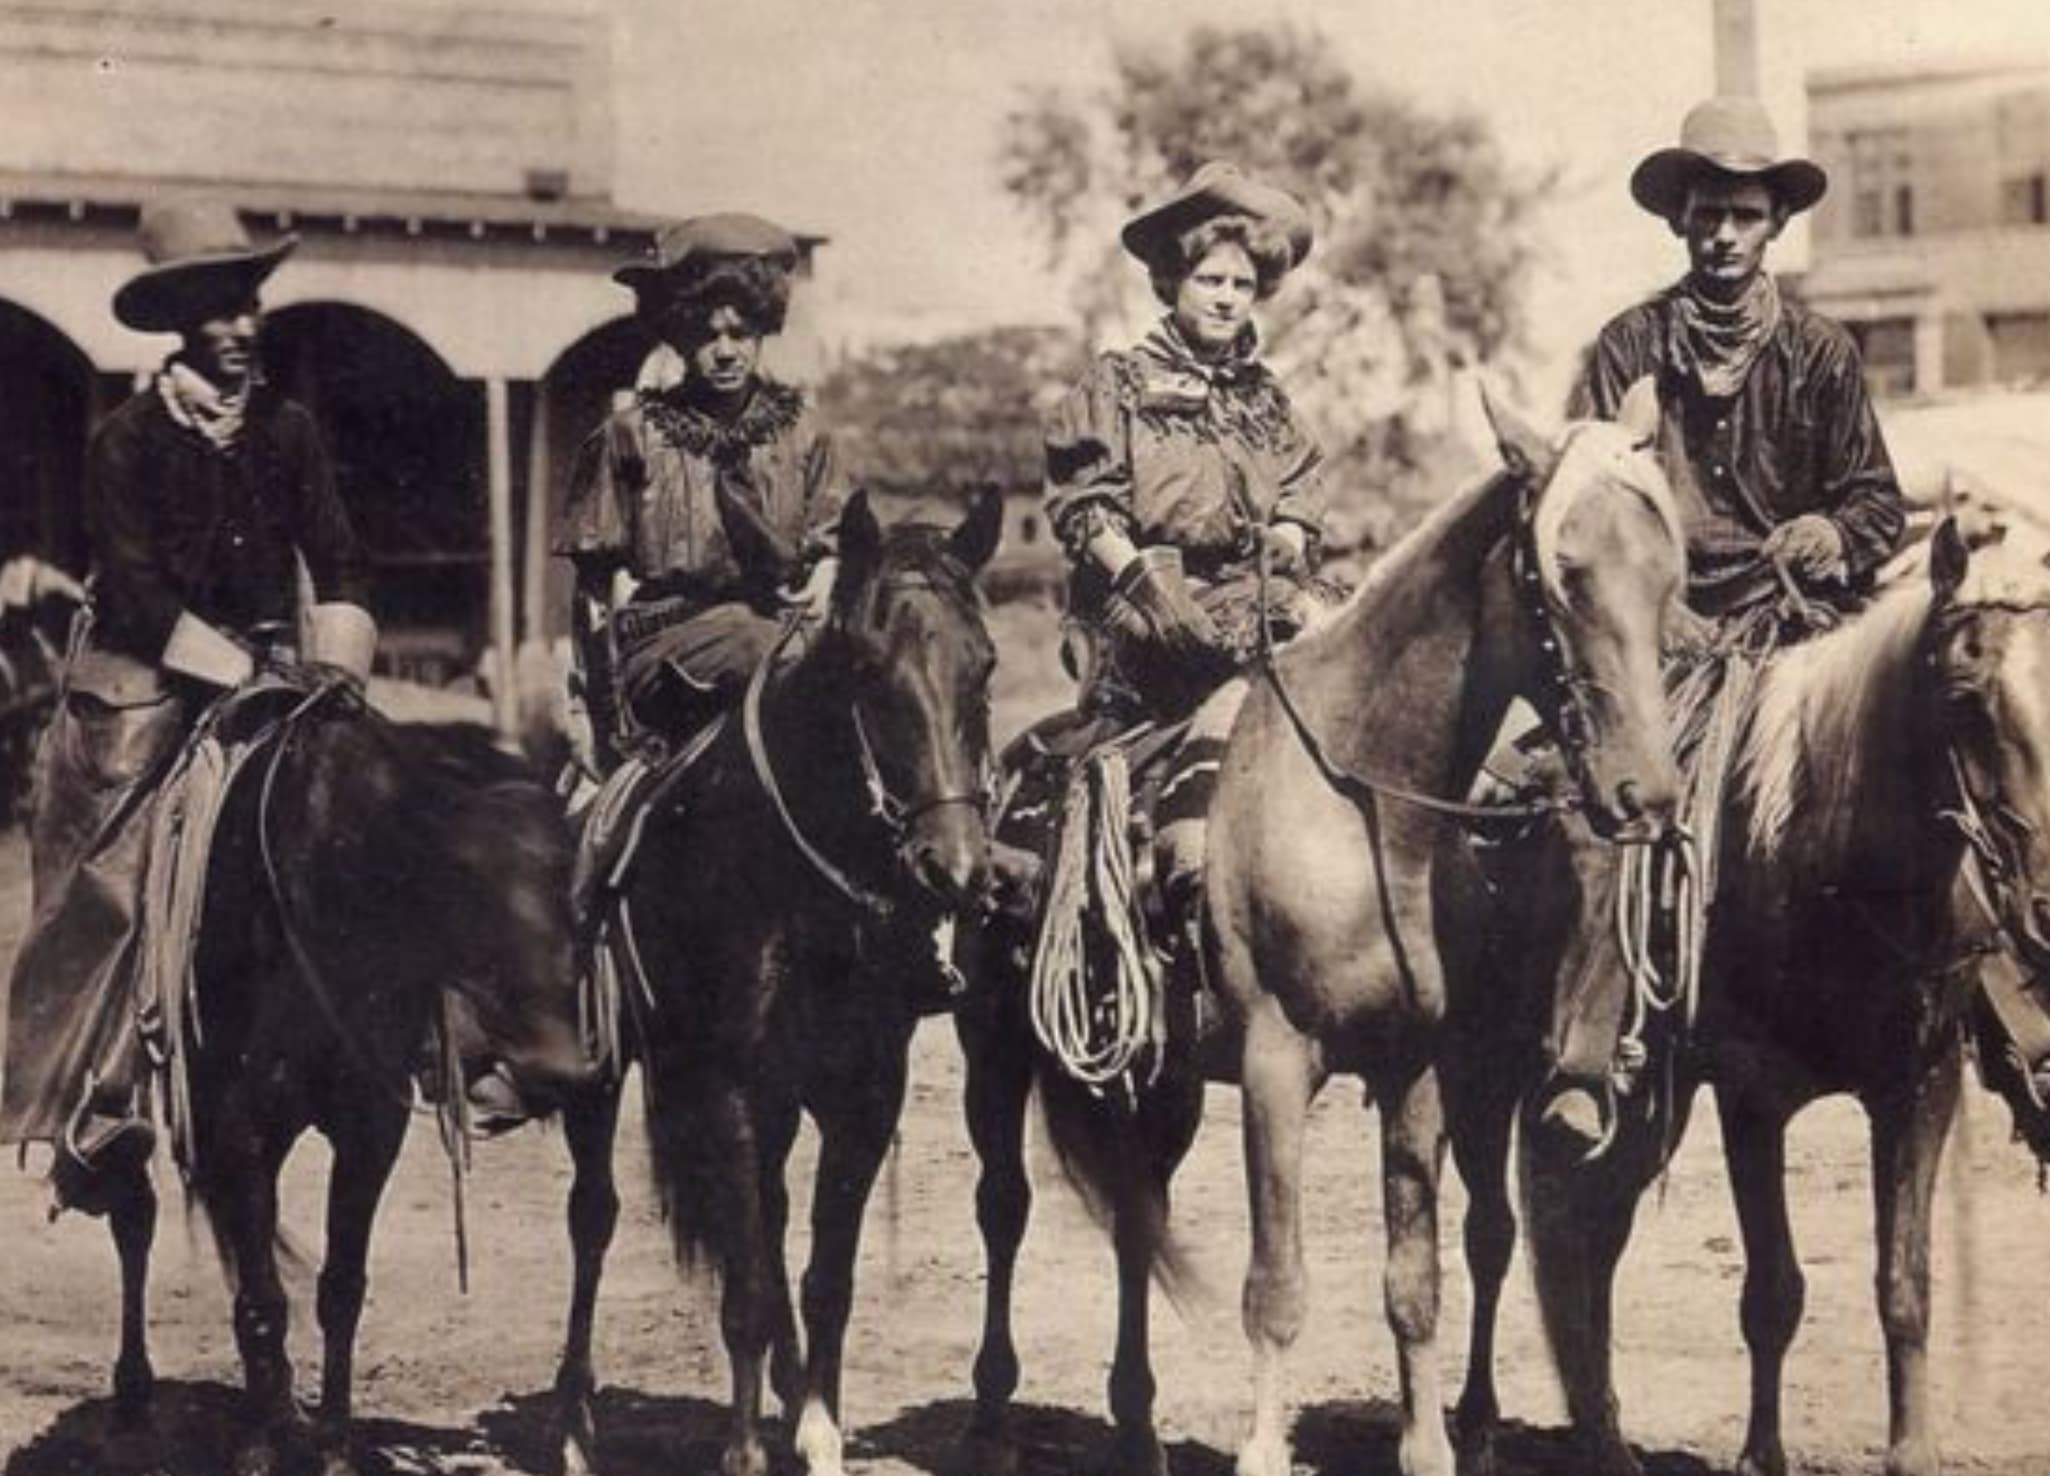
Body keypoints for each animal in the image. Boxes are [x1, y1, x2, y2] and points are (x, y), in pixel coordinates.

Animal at [91, 684, 594, 1467]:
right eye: (467, 897)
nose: (564, 1071)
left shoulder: (368, 1127)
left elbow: (339, 1288)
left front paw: (329, 1442)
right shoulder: (236, 1127)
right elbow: (263, 1302)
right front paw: (262, 1445)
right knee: (134, 1215)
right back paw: (137, 1388)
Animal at [549, 489, 1004, 1476]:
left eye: (984, 666)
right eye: (869, 668)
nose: (954, 867)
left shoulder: (863, 1096)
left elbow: (824, 1276)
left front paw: (819, 1432)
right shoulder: (727, 1088)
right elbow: (749, 1290)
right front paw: (746, 1452)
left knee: (765, 1217)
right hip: (600, 1081)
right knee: (593, 1219)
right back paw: (572, 1428)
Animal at [1451, 518, 2050, 1476]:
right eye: (1964, 696)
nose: (2043, 900)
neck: (1824, 866)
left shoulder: (1919, 1089)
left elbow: (1905, 1286)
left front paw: (1910, 1450)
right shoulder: (1751, 1095)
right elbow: (1772, 1292)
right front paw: (1761, 1455)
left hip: (1635, 1105)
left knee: (1588, 1234)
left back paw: (1602, 1436)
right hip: (1482, 1068)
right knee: (1493, 1235)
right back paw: (1477, 1429)